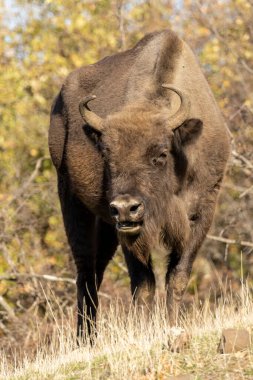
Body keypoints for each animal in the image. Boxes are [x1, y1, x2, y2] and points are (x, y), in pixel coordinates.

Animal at [48, 29, 230, 338]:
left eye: (161, 154)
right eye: (107, 155)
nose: (125, 207)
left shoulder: (202, 212)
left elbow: (176, 277)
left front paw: (171, 325)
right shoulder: (128, 232)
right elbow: (144, 284)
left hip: (104, 224)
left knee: (95, 271)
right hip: (72, 201)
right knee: (85, 272)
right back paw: (85, 339)